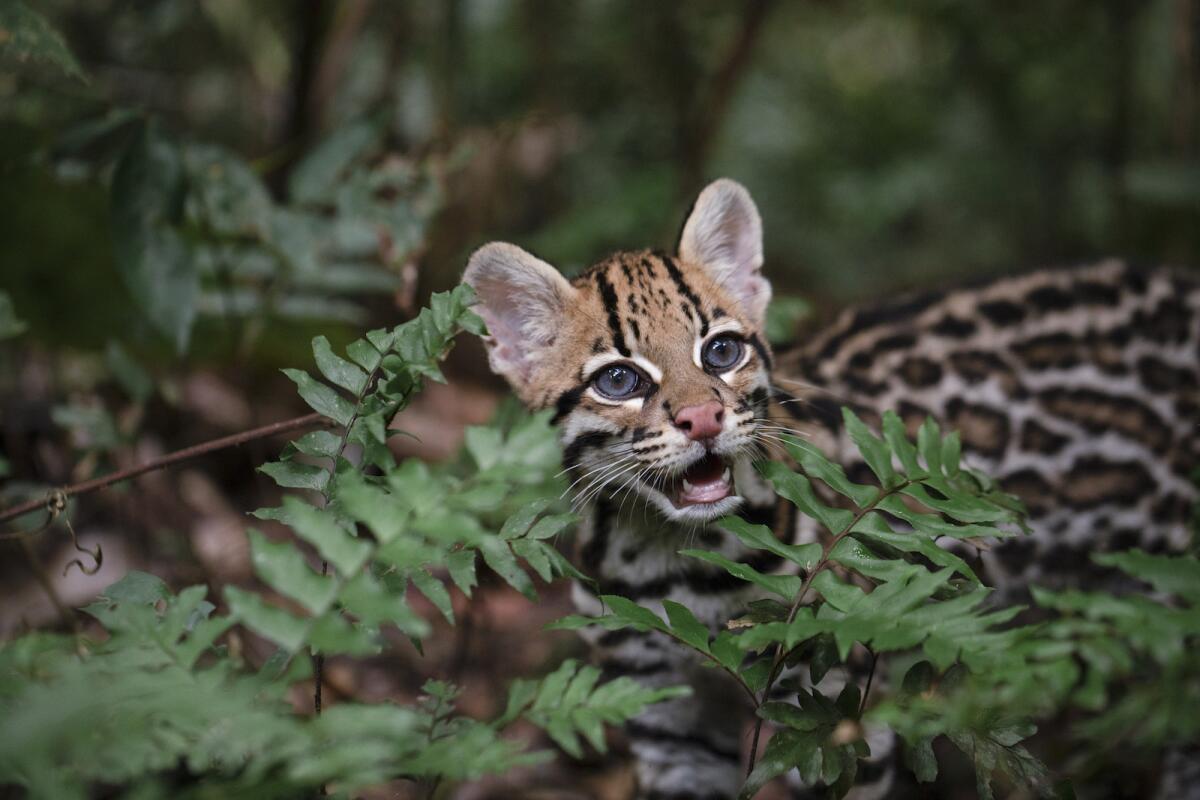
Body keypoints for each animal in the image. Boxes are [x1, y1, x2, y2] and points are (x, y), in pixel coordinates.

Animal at [460, 181, 1200, 800]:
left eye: (722, 351)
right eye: (619, 381)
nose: (703, 419)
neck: (670, 552)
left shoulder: (833, 708)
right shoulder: (665, 714)